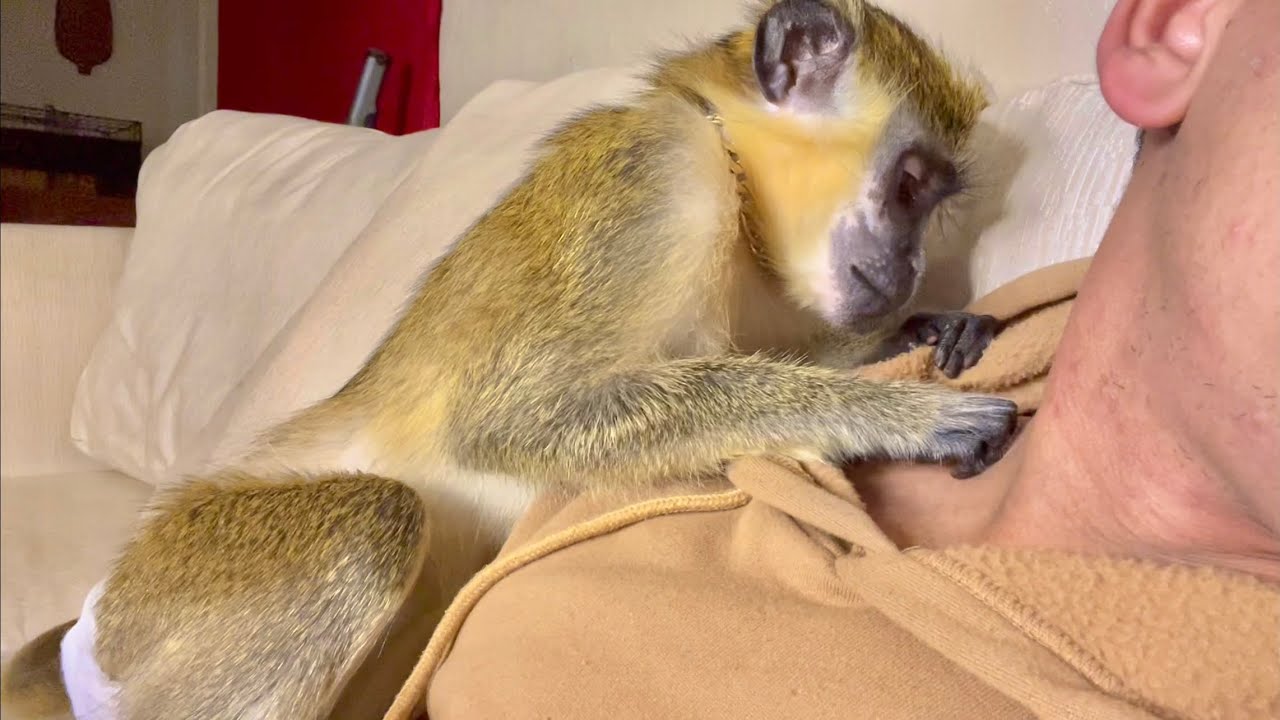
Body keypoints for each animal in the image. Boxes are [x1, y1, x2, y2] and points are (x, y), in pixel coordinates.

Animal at [1, 1, 1017, 718]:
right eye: (910, 186)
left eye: (932, 204)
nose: (910, 266)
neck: (728, 167)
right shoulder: (654, 177)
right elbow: (511, 423)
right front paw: (897, 417)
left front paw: (909, 336)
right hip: (169, 587)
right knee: (370, 522)